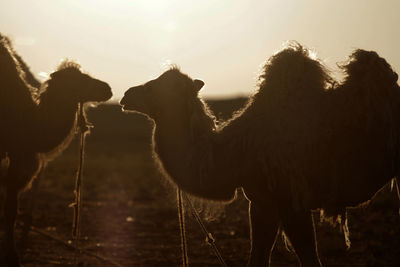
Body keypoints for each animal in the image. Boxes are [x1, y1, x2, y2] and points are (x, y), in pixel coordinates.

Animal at [0, 36, 112, 267]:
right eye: (79, 79)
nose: (107, 87)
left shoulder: (18, 156)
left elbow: (10, 210)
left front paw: (12, 255)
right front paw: (12, 255)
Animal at [120, 43, 400, 266]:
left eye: (154, 87)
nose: (126, 94)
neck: (235, 153)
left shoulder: (287, 201)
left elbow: (307, 258)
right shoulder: (264, 202)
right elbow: (260, 256)